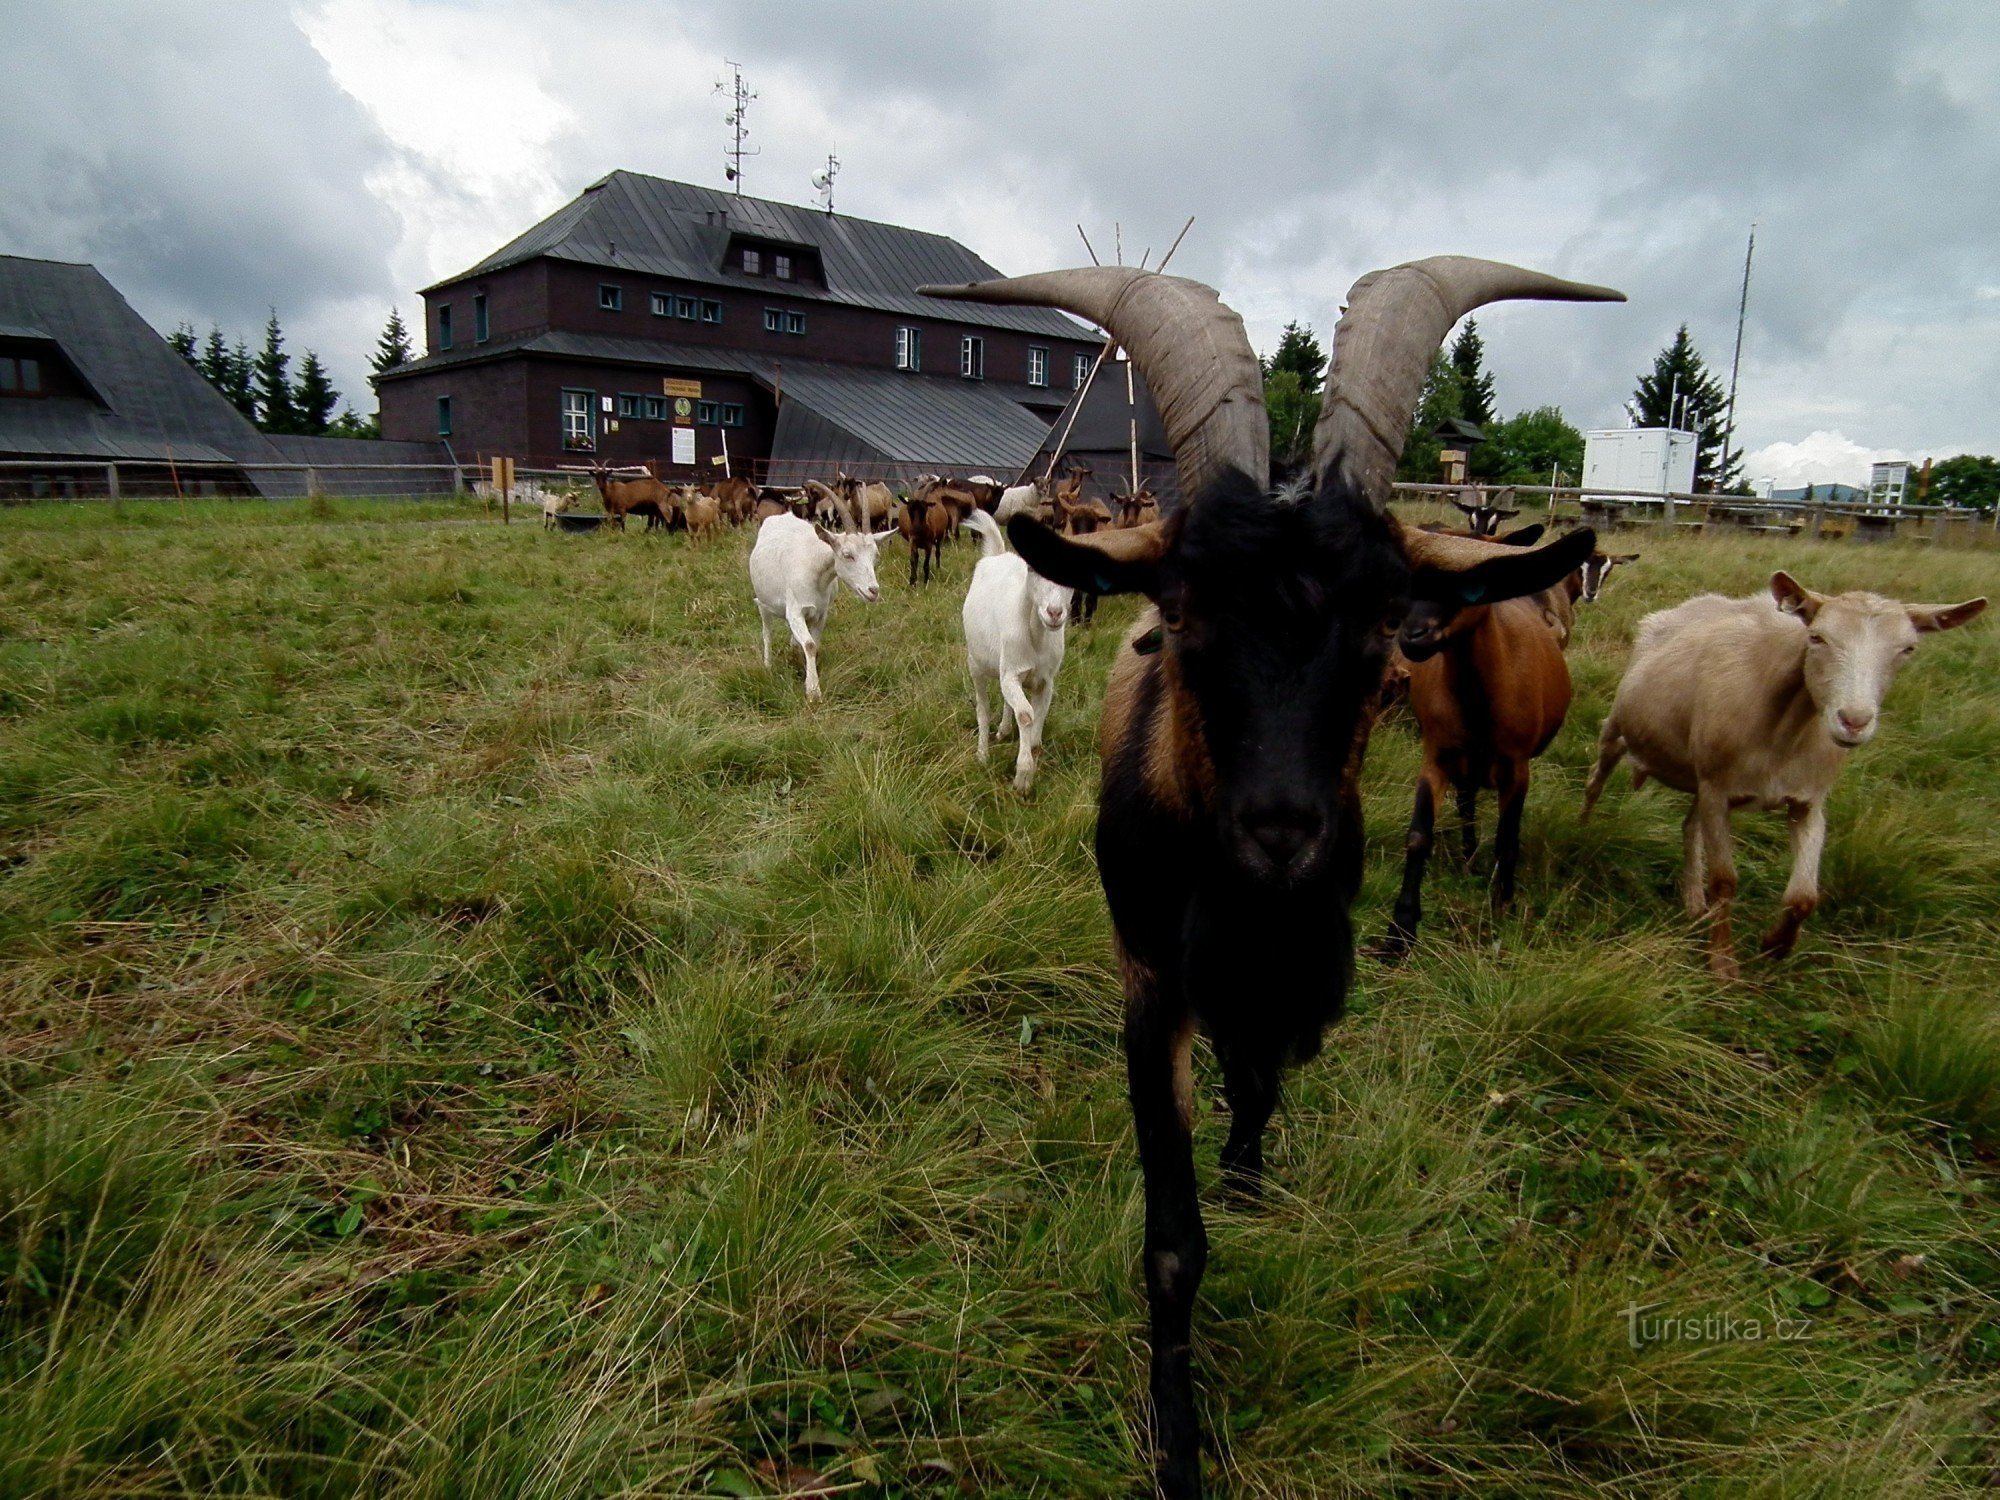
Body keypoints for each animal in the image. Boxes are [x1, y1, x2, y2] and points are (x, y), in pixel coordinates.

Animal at [752, 516, 884, 708]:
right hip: (763, 604)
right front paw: (813, 692)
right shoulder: (795, 612)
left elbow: (814, 643)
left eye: (875, 555)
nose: (873, 591)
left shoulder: (821, 614)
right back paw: (768, 665)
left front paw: (807, 675)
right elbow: (809, 645)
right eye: (847, 554)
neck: (815, 569)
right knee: (767, 633)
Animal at [956, 512, 1072, 792]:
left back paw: (1005, 729)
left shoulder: (1045, 680)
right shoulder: (1010, 673)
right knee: (983, 708)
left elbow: (1036, 717)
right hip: (975, 663)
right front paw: (1023, 776)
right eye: (1032, 568)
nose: (1054, 612)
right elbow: (1026, 715)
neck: (1036, 638)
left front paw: (1031, 758)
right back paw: (983, 754)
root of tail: (997, 555)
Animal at [1576, 568, 1984, 980]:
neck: (1783, 737)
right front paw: (1723, 963)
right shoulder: (1718, 791)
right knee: (1596, 778)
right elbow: (1725, 880)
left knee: (1690, 826)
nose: (1853, 721)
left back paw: (1693, 902)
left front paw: (1774, 945)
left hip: (1700, 777)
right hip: (1621, 730)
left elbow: (1804, 896)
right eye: (1816, 637)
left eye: (1908, 649)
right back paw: (1583, 828)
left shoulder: (1806, 802)